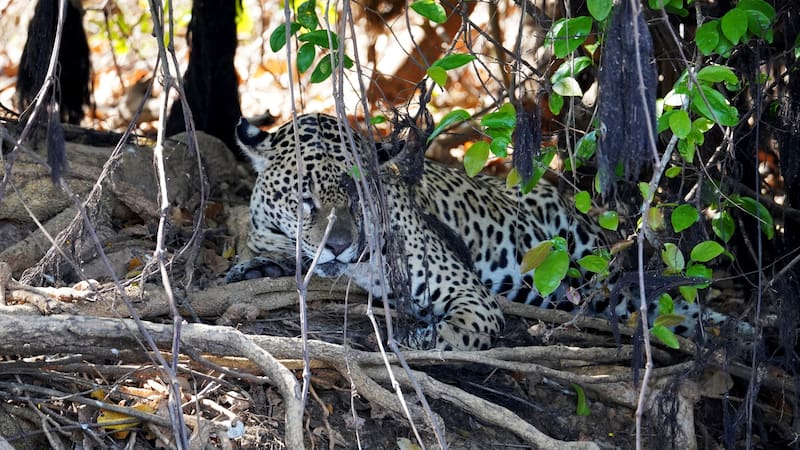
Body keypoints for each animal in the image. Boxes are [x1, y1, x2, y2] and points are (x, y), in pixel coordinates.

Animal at [226, 113, 746, 350]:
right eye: (304, 198)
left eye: (359, 199)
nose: (337, 246)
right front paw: (255, 268)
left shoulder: (470, 297)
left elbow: (458, 331)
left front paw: (421, 338)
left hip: (591, 265)